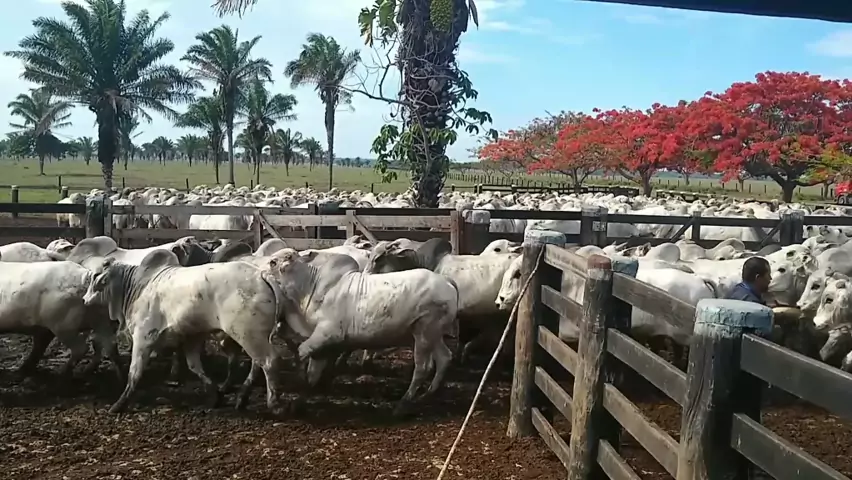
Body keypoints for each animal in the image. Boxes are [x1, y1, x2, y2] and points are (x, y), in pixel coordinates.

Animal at [82, 250, 286, 414]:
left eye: (96, 277)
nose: (84, 299)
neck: (138, 286)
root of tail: (261, 275)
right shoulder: (191, 338)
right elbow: (195, 366)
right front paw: (215, 396)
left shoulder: (143, 338)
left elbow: (134, 373)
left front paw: (119, 404)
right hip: (254, 336)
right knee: (257, 364)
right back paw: (242, 398)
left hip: (247, 334)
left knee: (269, 361)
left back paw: (274, 404)